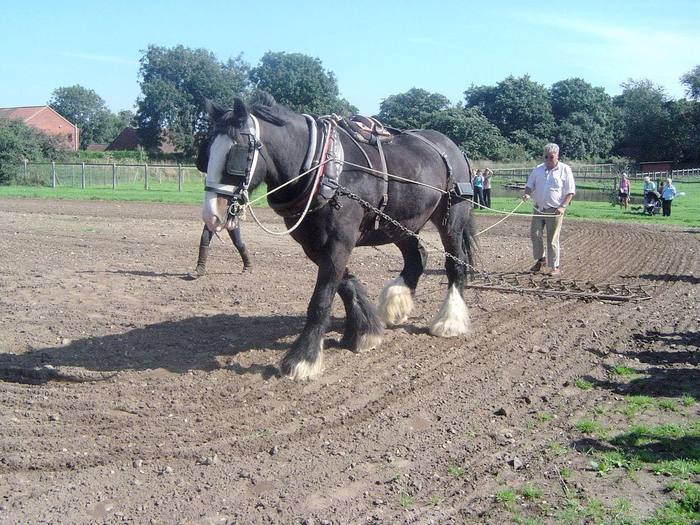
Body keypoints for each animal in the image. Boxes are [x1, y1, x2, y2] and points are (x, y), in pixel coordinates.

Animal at [201, 94, 476, 378]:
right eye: (207, 153)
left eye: (236, 153)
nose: (211, 215)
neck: (322, 167)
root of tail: (453, 148)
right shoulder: (314, 245)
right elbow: (345, 283)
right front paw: (364, 330)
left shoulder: (339, 242)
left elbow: (321, 299)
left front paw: (304, 358)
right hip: (399, 223)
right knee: (416, 257)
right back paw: (394, 305)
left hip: (451, 218)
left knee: (455, 263)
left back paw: (449, 321)